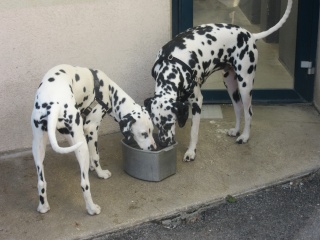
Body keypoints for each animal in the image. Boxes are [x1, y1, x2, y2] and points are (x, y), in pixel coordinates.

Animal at [30, 64, 156, 216]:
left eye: (151, 131)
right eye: (143, 134)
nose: (154, 148)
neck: (110, 91)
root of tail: (54, 104)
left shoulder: (72, 135)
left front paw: (89, 166)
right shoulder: (91, 128)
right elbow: (95, 156)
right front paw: (100, 173)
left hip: (38, 147)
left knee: (41, 182)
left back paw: (43, 206)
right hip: (81, 146)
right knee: (84, 184)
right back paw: (92, 208)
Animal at [146, 0, 292, 161]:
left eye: (169, 123)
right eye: (156, 124)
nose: (163, 143)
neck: (172, 66)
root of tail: (250, 36)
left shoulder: (197, 102)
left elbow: (193, 132)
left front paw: (191, 151)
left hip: (245, 85)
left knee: (248, 112)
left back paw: (245, 136)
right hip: (230, 85)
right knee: (238, 108)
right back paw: (236, 130)